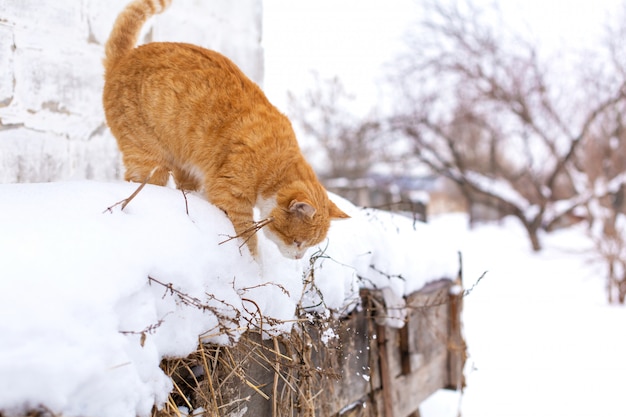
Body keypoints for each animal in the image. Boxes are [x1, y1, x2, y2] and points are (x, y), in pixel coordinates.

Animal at [102, 0, 346, 258]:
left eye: (309, 245)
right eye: (298, 242)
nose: (299, 258)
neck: (276, 162)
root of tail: (124, 57)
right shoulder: (232, 198)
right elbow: (247, 239)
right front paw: (253, 265)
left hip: (185, 167)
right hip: (149, 161)